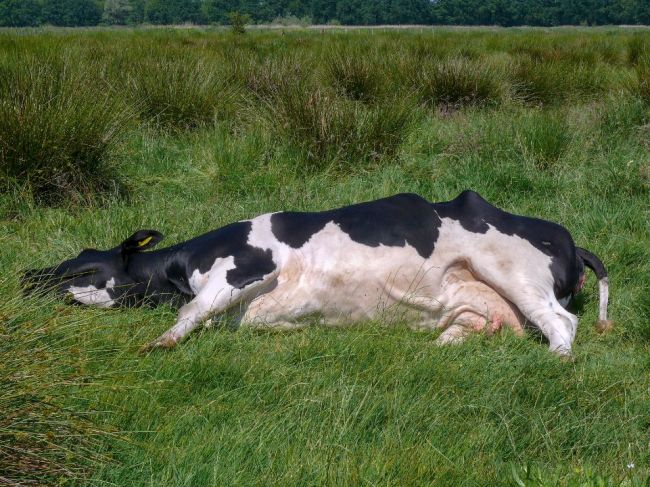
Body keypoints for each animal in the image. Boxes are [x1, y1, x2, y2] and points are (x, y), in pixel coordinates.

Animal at [20, 193, 608, 356]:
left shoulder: (247, 266)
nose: (26, 277)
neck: (179, 266)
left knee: (561, 323)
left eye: (85, 266)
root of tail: (567, 236)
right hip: (473, 304)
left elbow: (192, 310)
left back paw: (555, 360)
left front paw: (156, 344)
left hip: (513, 271)